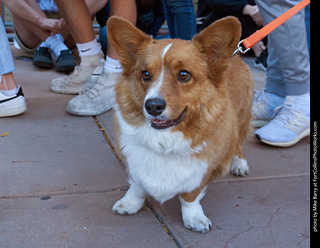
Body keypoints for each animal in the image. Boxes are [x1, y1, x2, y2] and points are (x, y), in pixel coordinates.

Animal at [106, 16, 254, 233]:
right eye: (145, 74)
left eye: (184, 75)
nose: (153, 106)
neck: (165, 141)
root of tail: (237, 53)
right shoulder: (131, 160)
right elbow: (137, 184)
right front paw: (131, 202)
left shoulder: (206, 170)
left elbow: (190, 196)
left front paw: (194, 217)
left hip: (242, 118)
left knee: (239, 143)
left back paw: (240, 163)